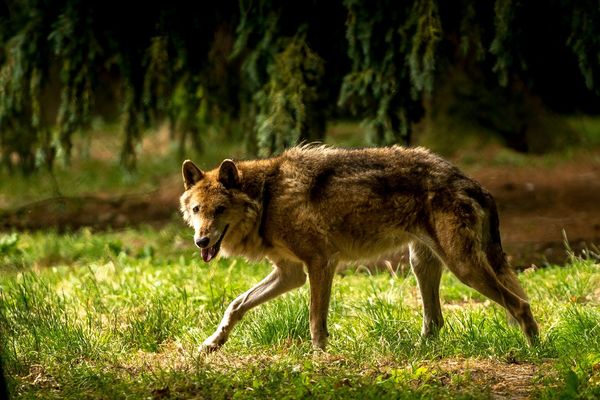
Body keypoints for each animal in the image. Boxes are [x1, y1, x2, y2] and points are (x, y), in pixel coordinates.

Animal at [179, 145, 540, 352]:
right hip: (422, 264)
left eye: (219, 210)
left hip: (463, 268)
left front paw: (319, 358)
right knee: (435, 321)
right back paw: (417, 351)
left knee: (521, 304)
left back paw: (535, 351)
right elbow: (236, 305)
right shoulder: (290, 273)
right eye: (197, 210)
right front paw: (212, 344)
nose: (201, 241)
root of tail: (471, 182)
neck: (267, 198)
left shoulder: (320, 263)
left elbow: (315, 320)